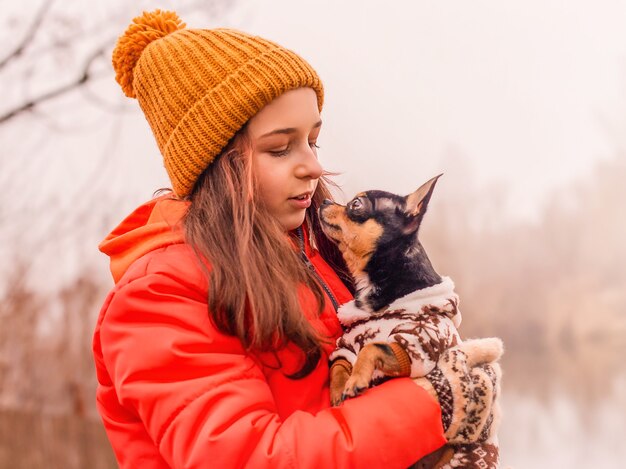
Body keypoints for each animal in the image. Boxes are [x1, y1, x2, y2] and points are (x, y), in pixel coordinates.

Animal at [320, 176, 500, 468]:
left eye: (356, 205)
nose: (324, 201)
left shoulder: (417, 344)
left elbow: (373, 346)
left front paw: (356, 378)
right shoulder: (347, 344)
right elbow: (338, 365)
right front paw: (338, 390)